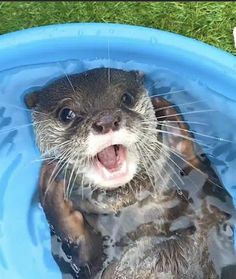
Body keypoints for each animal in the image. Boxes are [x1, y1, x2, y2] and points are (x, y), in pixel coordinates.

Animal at [24, 68, 235, 279]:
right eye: (66, 113)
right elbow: (81, 255)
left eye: (126, 98)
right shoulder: (89, 267)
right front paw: (51, 189)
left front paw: (174, 127)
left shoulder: (212, 209)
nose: (106, 119)